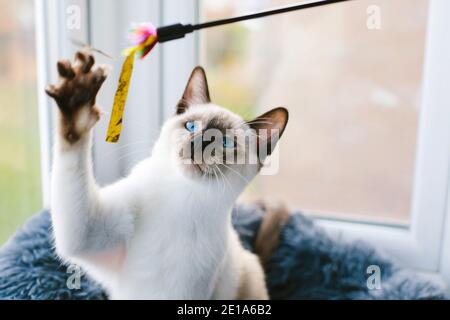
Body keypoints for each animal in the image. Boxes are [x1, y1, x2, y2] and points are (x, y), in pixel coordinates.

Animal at [45, 50, 290, 300]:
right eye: (191, 127)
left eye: (226, 143)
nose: (199, 144)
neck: (182, 198)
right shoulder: (87, 230)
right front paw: (77, 96)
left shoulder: (187, 294)